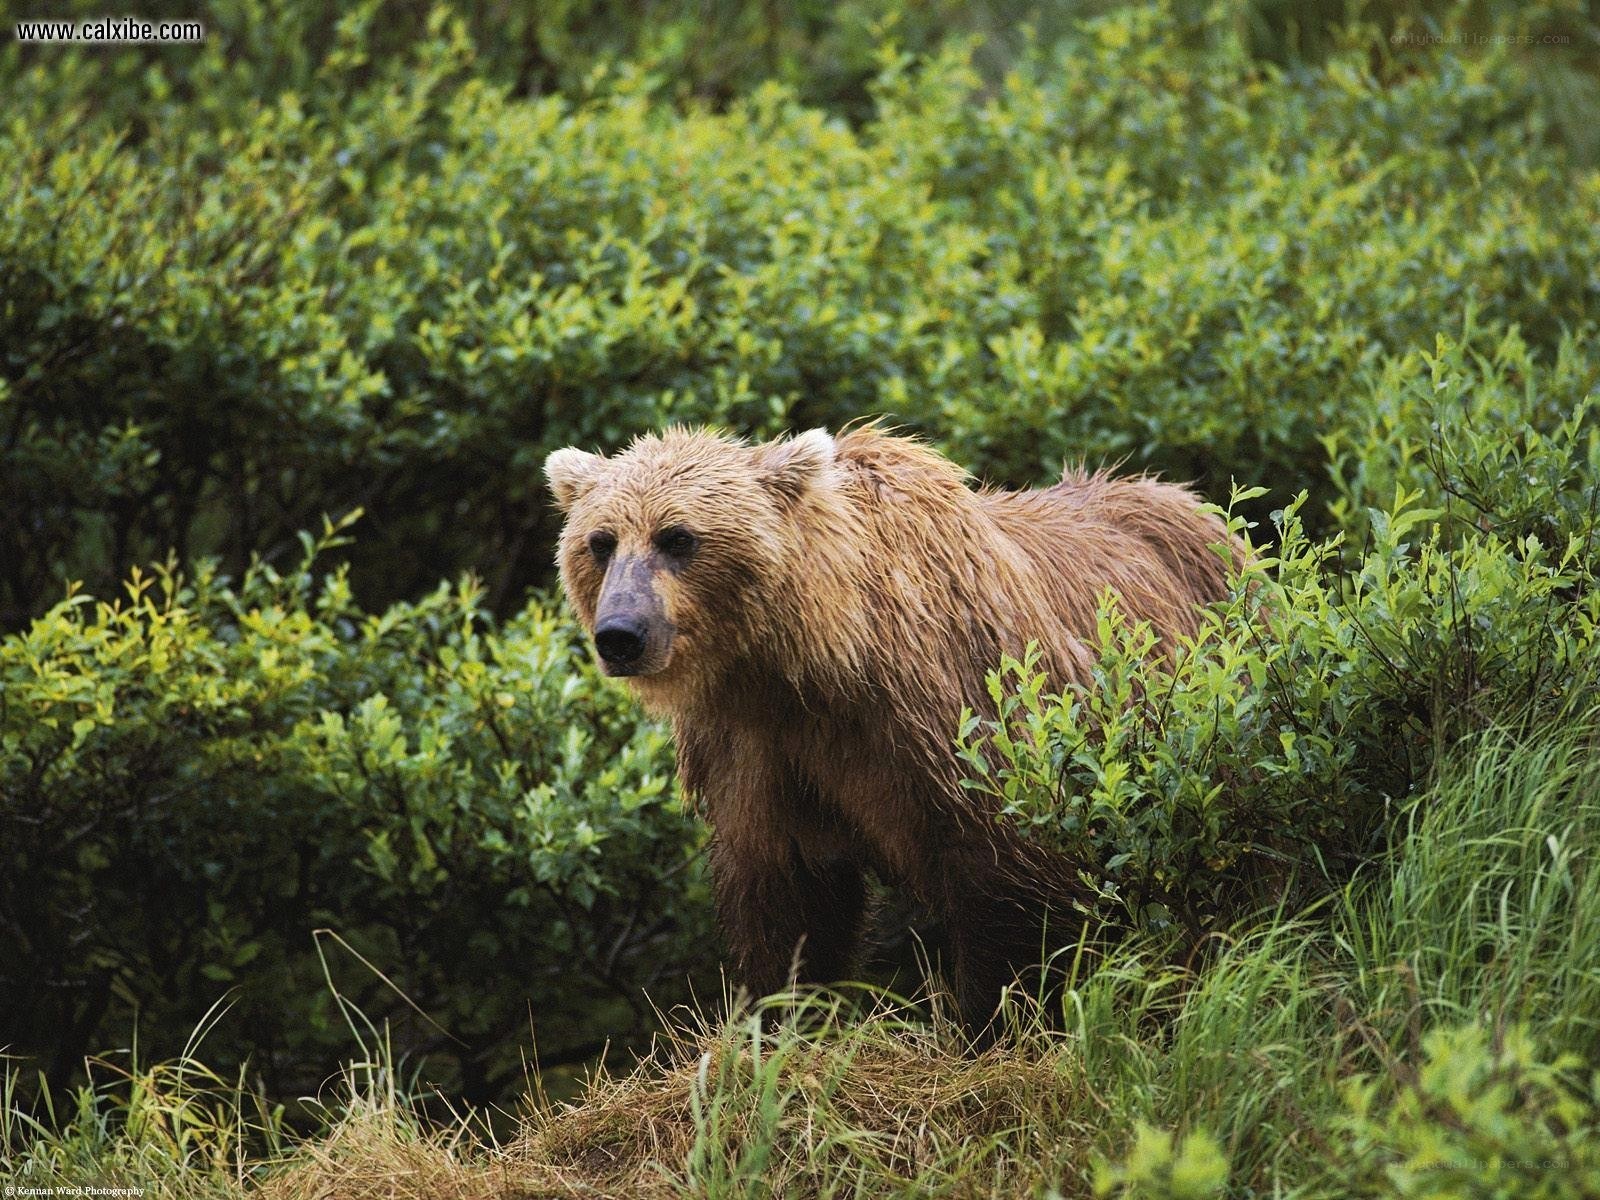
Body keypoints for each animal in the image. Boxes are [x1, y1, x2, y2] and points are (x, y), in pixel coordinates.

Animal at [545, 425, 1237, 1032]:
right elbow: (788, 899)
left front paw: (993, 1021)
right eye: (600, 541)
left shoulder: (953, 719)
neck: (820, 663)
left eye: (677, 537)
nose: (620, 635)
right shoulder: (759, 749)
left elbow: (1007, 880)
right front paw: (780, 1022)